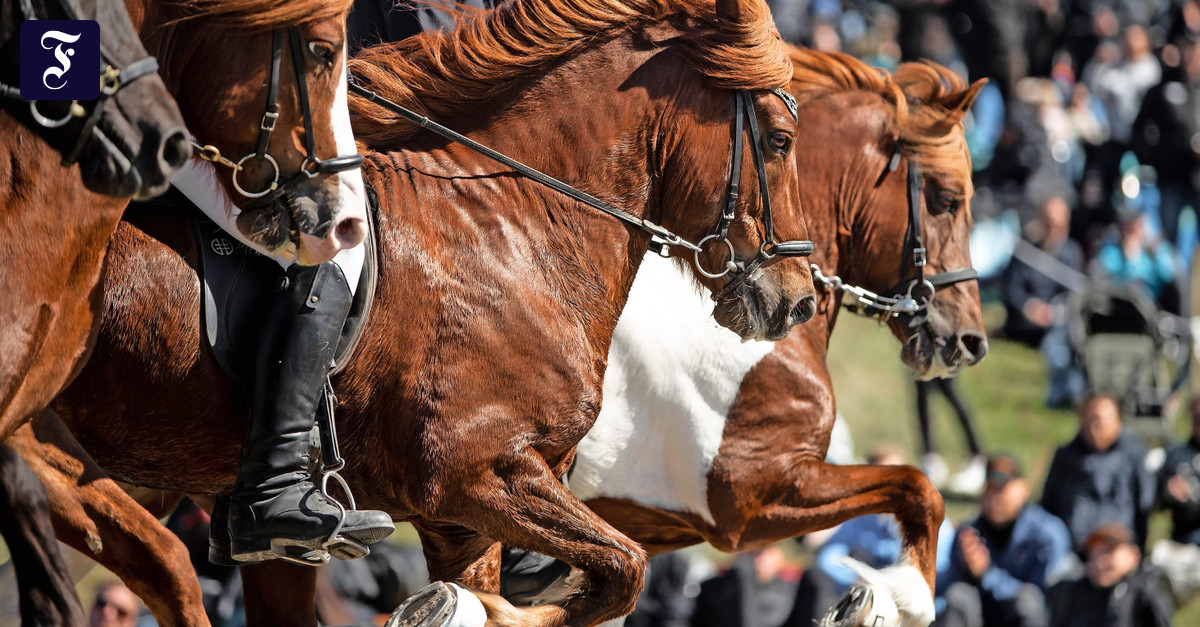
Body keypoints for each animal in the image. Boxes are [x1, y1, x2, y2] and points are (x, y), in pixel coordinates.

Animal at [12, 0, 816, 624]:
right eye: (779, 141)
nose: (802, 296)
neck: (512, 228)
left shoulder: (459, 521)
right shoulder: (478, 474)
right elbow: (622, 570)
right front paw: (486, 609)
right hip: (50, 439)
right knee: (161, 563)